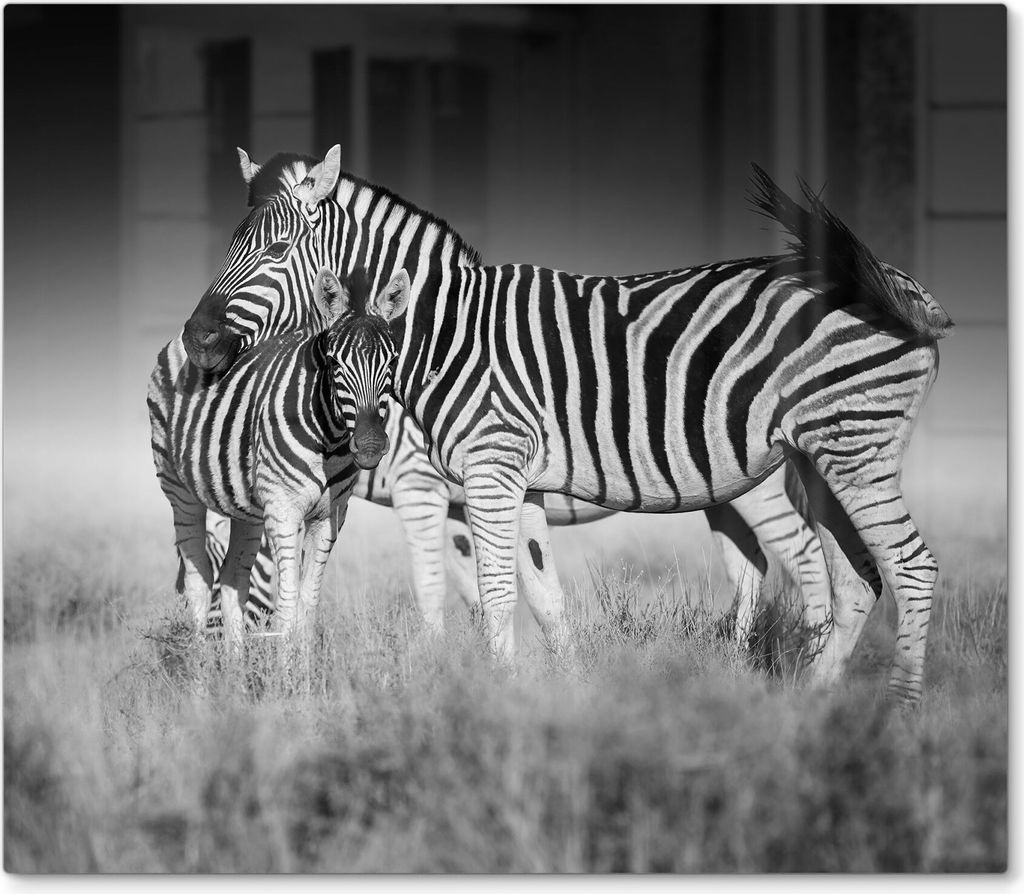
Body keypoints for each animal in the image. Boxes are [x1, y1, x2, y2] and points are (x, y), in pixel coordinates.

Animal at [149, 265, 409, 646]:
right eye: (334, 363)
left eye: (391, 362)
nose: (371, 446)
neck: (330, 440)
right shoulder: (284, 511)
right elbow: (287, 606)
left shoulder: (330, 515)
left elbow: (307, 606)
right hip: (178, 490)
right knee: (198, 582)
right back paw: (201, 664)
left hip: (247, 508)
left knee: (232, 581)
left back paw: (235, 665)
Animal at [178, 150, 952, 702]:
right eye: (232, 242)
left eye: (277, 251)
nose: (196, 341)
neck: (440, 332)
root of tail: (897, 282)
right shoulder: (506, 482)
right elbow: (539, 598)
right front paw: (548, 692)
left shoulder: (460, 477)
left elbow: (472, 593)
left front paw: (476, 696)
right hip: (817, 457)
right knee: (845, 579)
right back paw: (806, 704)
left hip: (847, 449)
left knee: (898, 568)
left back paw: (897, 718)